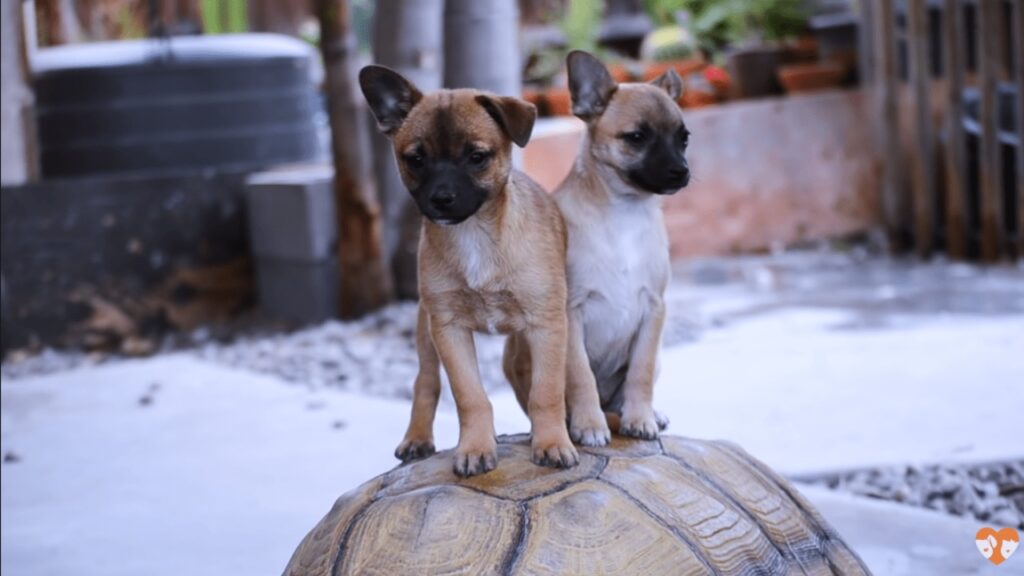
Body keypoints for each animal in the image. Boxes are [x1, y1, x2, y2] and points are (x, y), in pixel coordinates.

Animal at [360, 65, 577, 473]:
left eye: (477, 157)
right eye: (415, 160)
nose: (441, 199)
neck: (475, 233)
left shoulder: (546, 325)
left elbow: (546, 391)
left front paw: (552, 443)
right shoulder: (449, 329)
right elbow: (470, 396)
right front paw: (476, 447)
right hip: (426, 332)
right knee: (425, 382)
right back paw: (417, 438)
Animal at [552, 51, 688, 438]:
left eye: (684, 139)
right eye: (637, 138)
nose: (682, 171)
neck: (624, 212)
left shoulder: (653, 310)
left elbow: (640, 372)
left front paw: (640, 418)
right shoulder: (570, 313)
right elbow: (580, 375)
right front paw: (588, 424)